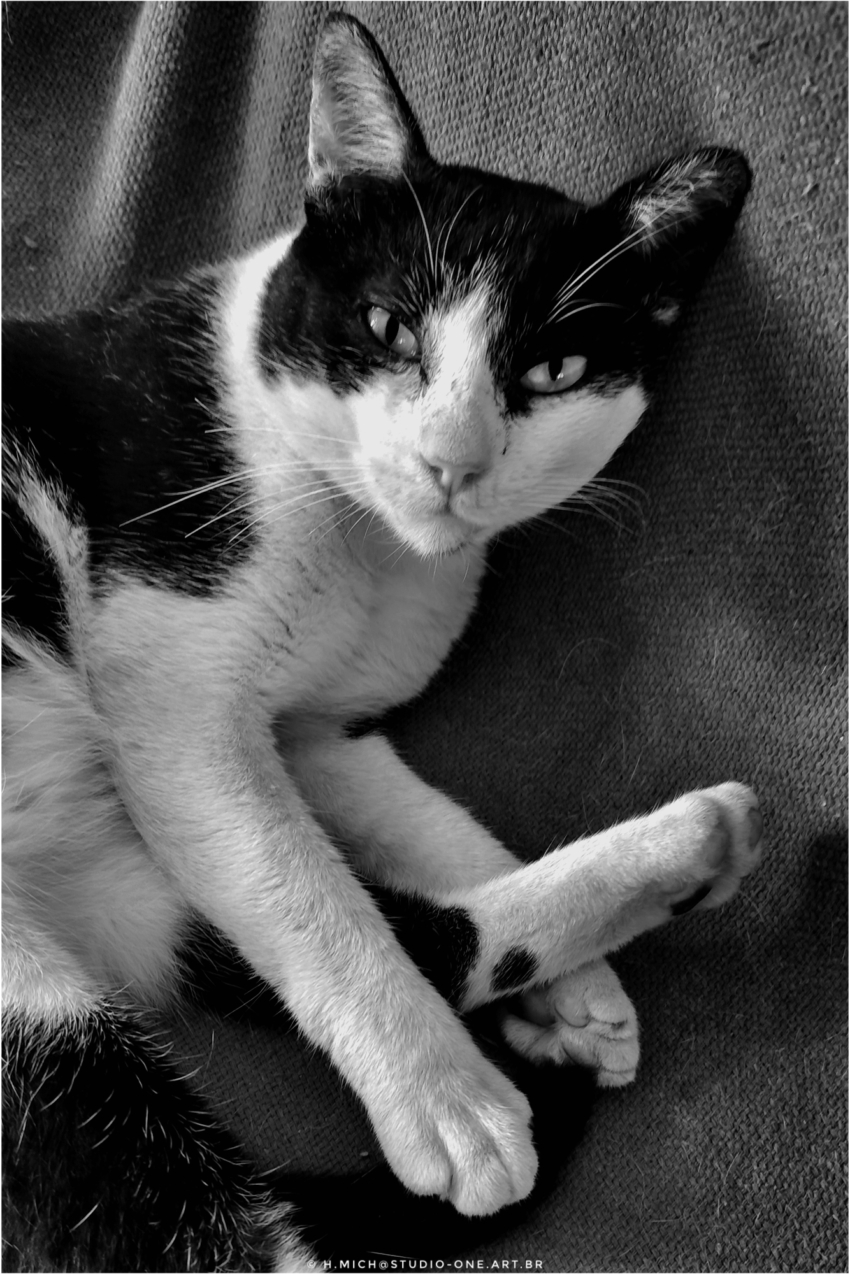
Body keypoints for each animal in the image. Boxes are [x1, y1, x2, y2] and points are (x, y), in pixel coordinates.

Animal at [2, 13, 761, 1273]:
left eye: (552, 369)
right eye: (386, 327)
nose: (451, 460)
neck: (366, 545)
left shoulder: (326, 733)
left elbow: (426, 829)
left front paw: (575, 994)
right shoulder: (176, 705)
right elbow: (310, 897)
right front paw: (447, 1101)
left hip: (110, 890)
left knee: (414, 932)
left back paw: (687, 850)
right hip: (35, 1013)